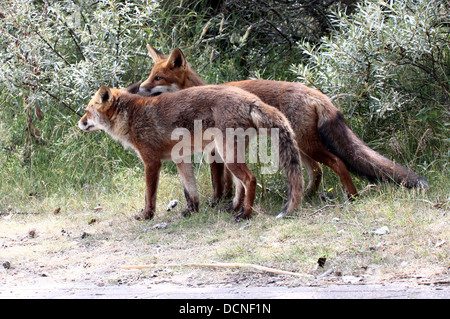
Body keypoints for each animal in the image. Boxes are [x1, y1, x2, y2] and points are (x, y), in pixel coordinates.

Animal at [77, 84, 304, 221]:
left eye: (87, 111)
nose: (79, 122)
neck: (132, 116)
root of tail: (251, 99)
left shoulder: (151, 162)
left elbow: (149, 195)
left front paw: (147, 216)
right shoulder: (181, 158)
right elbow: (190, 191)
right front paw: (192, 211)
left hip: (227, 155)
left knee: (250, 179)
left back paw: (245, 214)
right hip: (230, 156)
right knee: (241, 185)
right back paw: (234, 208)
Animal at [139, 45, 428, 202]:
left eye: (158, 78)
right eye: (150, 75)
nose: (139, 87)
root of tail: (316, 93)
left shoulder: (216, 152)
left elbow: (218, 183)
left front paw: (217, 203)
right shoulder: (220, 150)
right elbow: (228, 182)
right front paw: (227, 201)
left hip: (307, 145)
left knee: (338, 163)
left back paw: (352, 196)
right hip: (300, 145)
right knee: (317, 172)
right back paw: (307, 196)